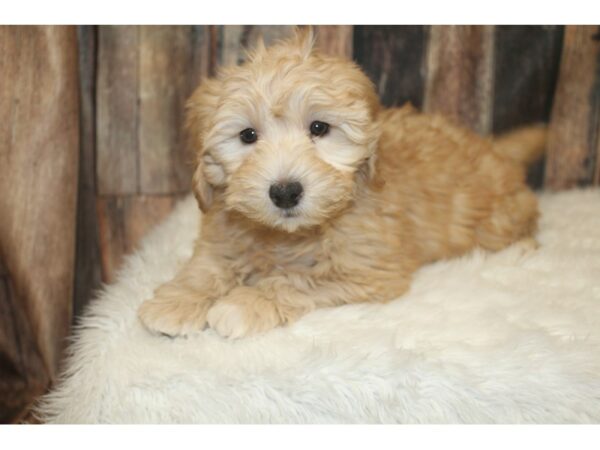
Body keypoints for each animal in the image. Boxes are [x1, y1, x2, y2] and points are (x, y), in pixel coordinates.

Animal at [139, 28, 544, 338]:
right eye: (247, 135)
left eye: (319, 128)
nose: (285, 191)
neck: (284, 237)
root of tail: (494, 150)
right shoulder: (223, 231)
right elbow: (208, 265)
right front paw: (178, 300)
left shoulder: (369, 270)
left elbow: (297, 280)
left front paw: (244, 302)